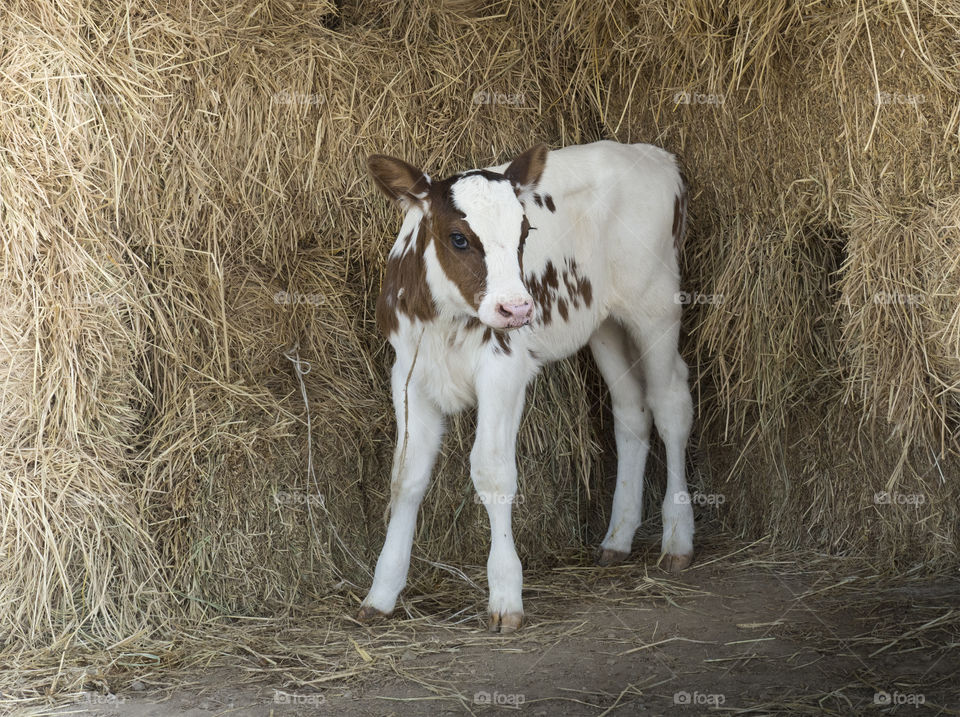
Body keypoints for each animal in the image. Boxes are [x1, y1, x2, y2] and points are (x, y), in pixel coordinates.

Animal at [358, 141, 688, 632]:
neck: (445, 319)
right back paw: (618, 537)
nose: (516, 309)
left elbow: (492, 472)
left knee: (670, 405)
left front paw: (505, 594)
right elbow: (406, 476)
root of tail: (652, 153)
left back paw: (678, 537)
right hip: (604, 324)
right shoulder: (409, 374)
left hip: (656, 307)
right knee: (632, 409)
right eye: (458, 238)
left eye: (525, 233)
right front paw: (382, 591)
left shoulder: (503, 370)